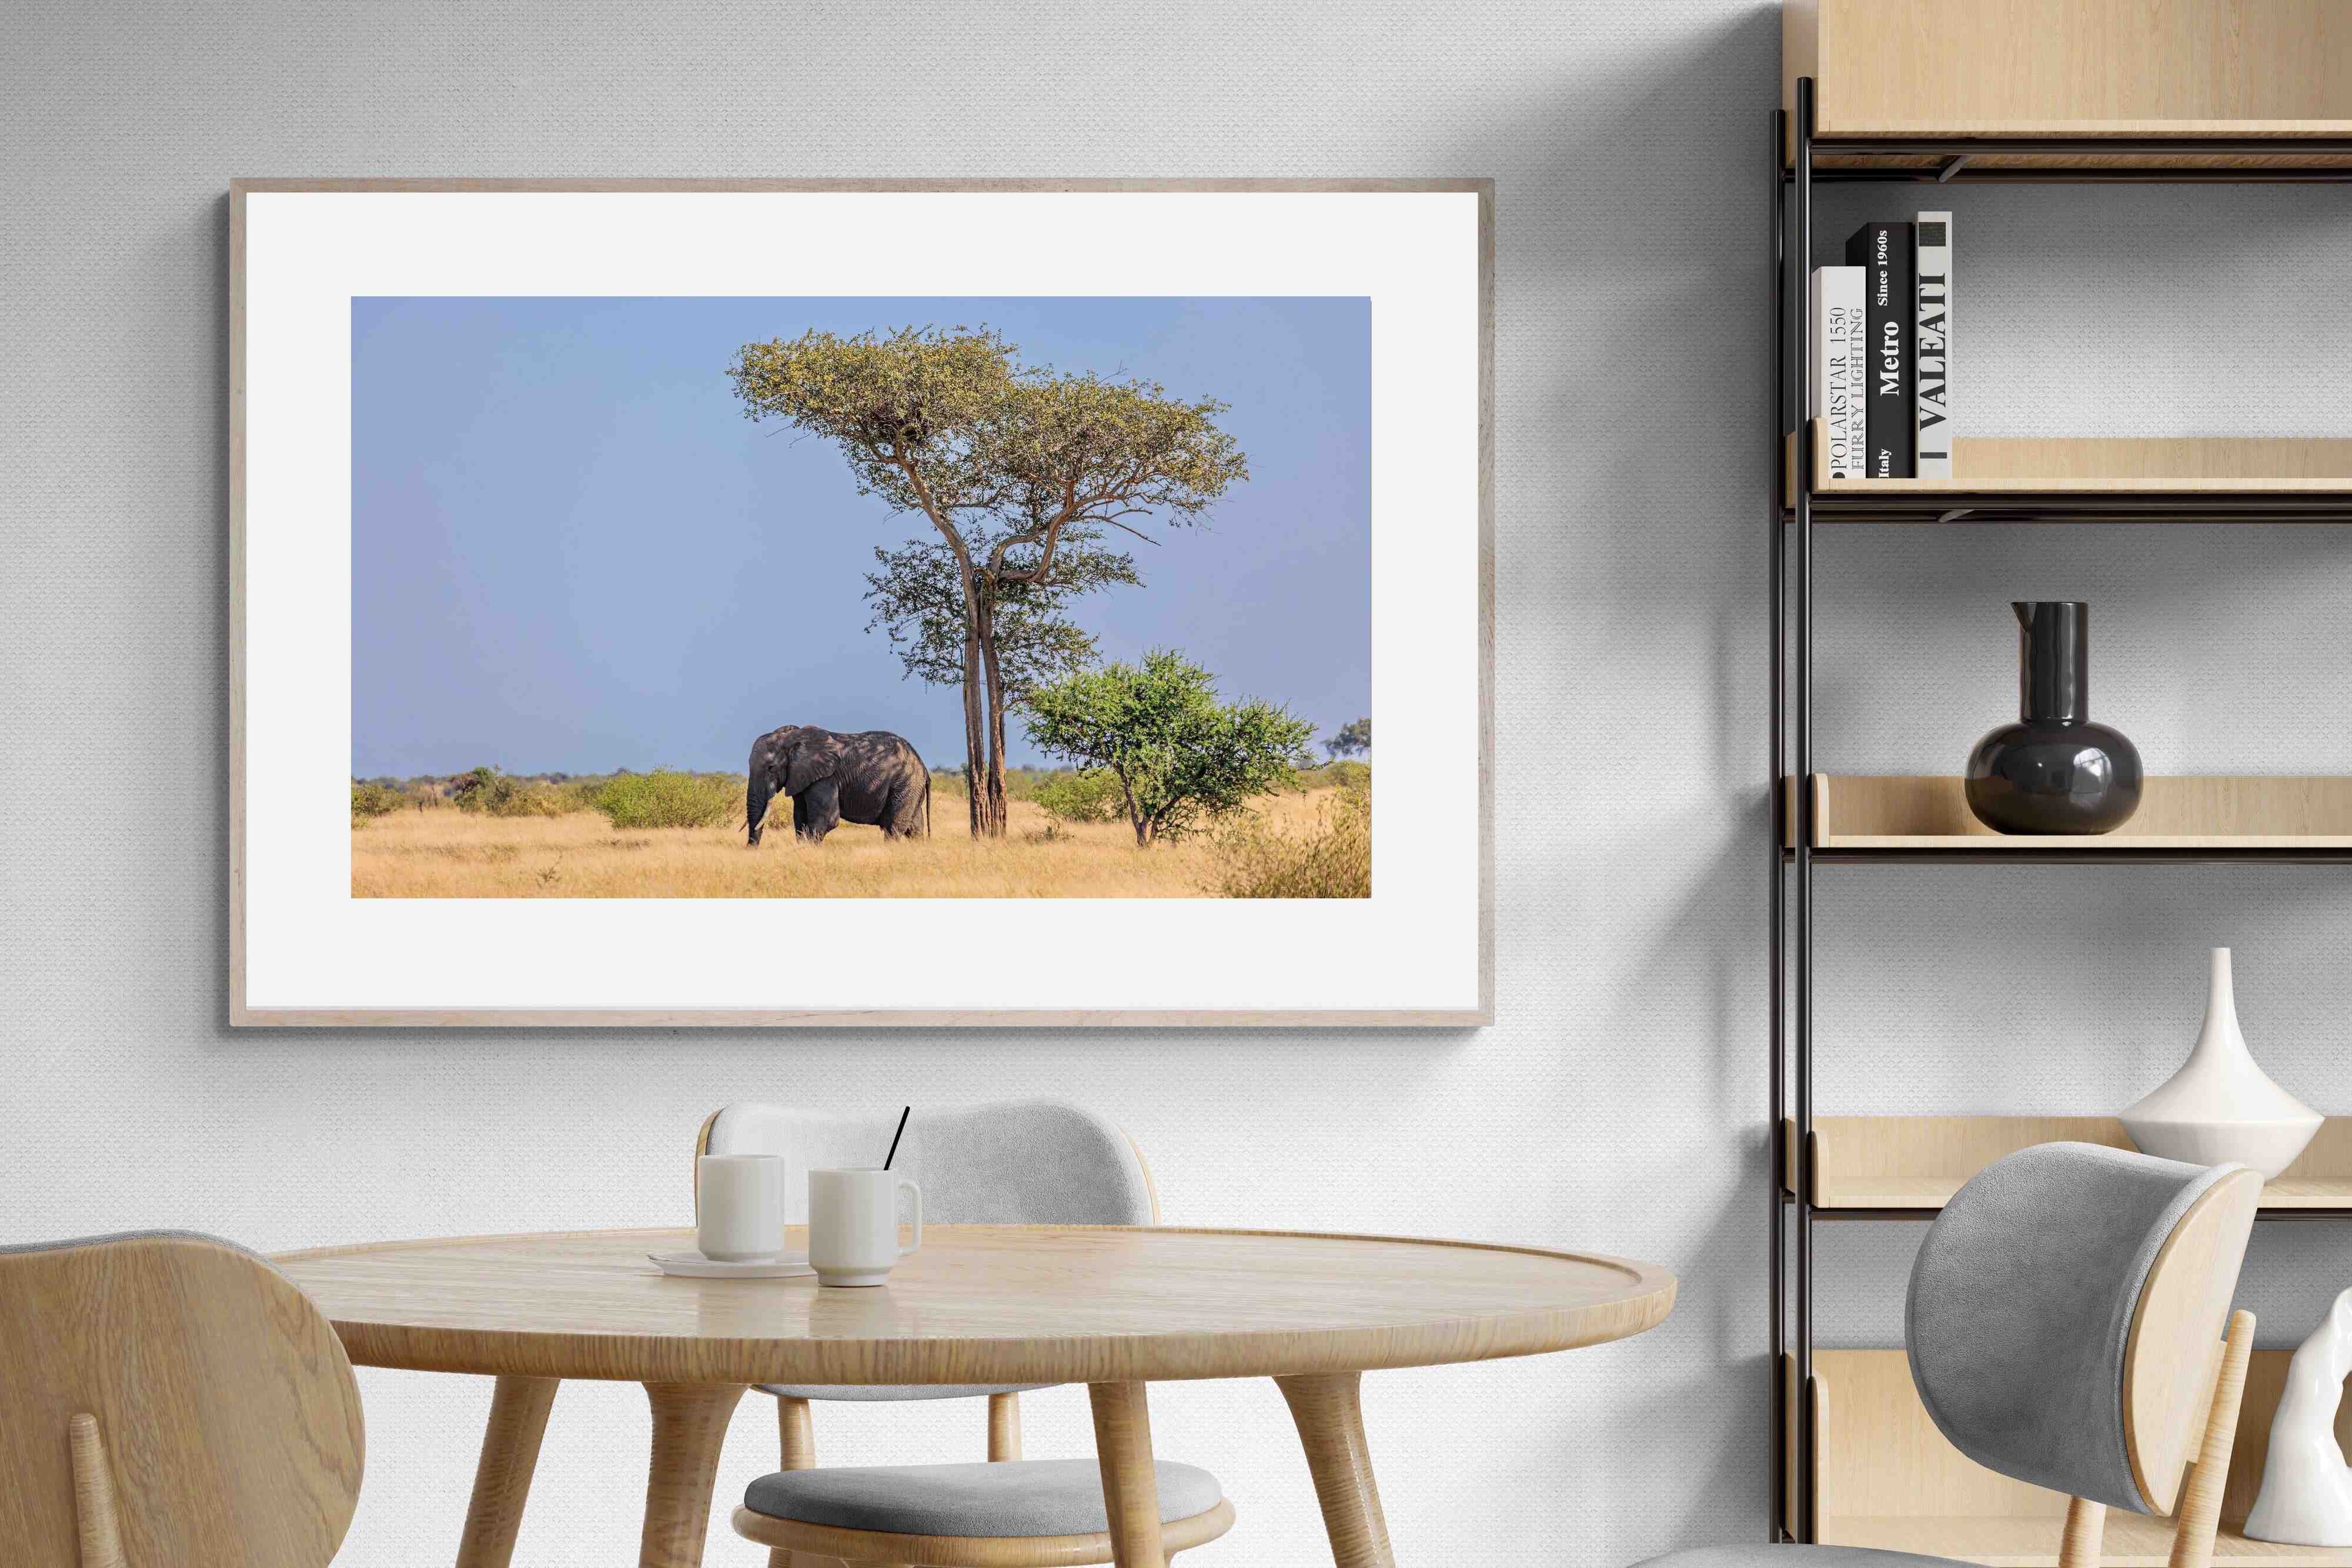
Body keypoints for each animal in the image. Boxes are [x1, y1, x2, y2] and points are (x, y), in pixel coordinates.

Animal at [746, 724, 931, 846]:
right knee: (914, 828)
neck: (792, 738)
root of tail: (922, 764)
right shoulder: (800, 777)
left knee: (893, 826)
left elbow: (827, 820)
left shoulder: (826, 778)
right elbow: (800, 817)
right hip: (911, 787)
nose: (751, 849)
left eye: (772, 768)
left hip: (904, 782)